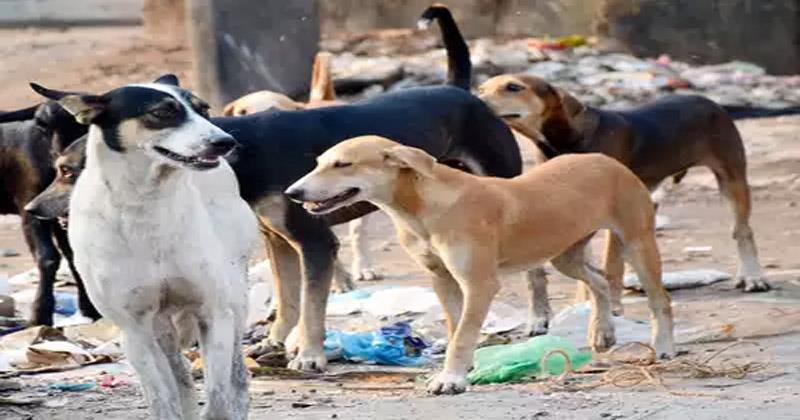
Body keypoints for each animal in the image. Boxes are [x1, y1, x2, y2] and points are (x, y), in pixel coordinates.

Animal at [0, 102, 100, 324]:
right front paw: (39, 316)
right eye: (41, 123)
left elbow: (73, 256)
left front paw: (90, 310)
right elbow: (47, 257)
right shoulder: (29, 205)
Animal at [30, 76, 256, 420]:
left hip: (235, 298)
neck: (146, 203)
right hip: (159, 327)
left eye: (204, 109)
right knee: (180, 378)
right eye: (162, 112)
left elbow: (218, 399)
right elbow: (163, 398)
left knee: (236, 376)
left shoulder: (213, 313)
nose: (226, 142)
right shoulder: (134, 330)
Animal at [288, 136, 676, 396]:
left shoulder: (480, 283)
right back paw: (603, 330)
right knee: (598, 281)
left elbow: (462, 335)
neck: (421, 208)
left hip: (638, 242)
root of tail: (606, 160)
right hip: (563, 254)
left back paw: (664, 346)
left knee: (660, 299)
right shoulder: (442, 279)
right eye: (319, 162)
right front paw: (463, 367)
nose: (293, 193)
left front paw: (451, 379)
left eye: (343, 164)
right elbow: (456, 325)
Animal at [478, 73, 772, 322]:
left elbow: (610, 265)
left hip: (731, 178)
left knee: (742, 230)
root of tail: (708, 101)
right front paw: (581, 305)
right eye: (482, 88)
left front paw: (613, 307)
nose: (476, 100)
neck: (564, 139)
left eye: (513, 87)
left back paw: (753, 277)